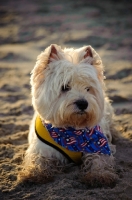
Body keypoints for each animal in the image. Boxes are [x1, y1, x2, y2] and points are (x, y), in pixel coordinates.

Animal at [19, 44, 117, 187]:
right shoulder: (42, 149)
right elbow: (37, 159)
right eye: (65, 87)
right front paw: (33, 173)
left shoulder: (98, 144)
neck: (71, 131)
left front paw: (100, 175)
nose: (83, 103)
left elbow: (99, 159)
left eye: (88, 88)